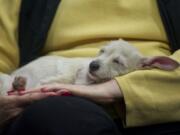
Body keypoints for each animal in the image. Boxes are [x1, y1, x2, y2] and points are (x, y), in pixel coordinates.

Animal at [0, 39, 179, 95]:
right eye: (102, 51)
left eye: (118, 61)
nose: (93, 65)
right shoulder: (70, 65)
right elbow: (67, 74)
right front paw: (47, 82)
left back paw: (20, 84)